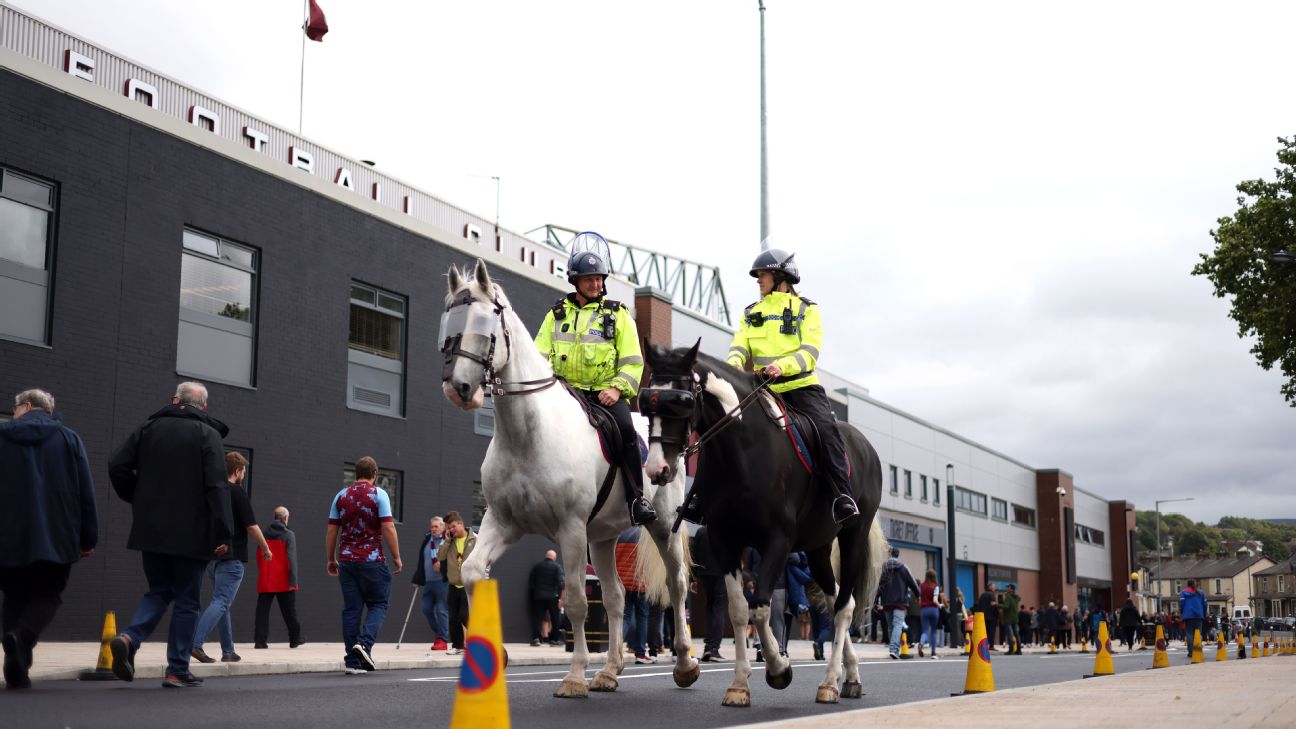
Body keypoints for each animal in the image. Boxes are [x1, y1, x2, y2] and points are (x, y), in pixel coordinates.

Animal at [438, 258, 705, 695]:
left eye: (487, 319)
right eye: (448, 318)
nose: (458, 388)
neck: (527, 435)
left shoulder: (570, 529)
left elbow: (577, 601)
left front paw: (575, 675)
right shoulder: (503, 523)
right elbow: (473, 573)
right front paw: (495, 654)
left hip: (662, 525)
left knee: (677, 584)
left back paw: (684, 663)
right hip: (603, 538)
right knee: (615, 597)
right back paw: (610, 670)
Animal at [640, 339, 891, 705]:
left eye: (682, 401)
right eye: (646, 403)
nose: (657, 469)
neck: (742, 450)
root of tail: (864, 445)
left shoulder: (778, 541)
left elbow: (759, 607)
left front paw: (778, 668)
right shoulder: (724, 539)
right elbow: (738, 610)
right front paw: (739, 684)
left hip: (853, 536)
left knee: (845, 606)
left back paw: (830, 682)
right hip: (818, 548)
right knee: (834, 603)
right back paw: (852, 675)